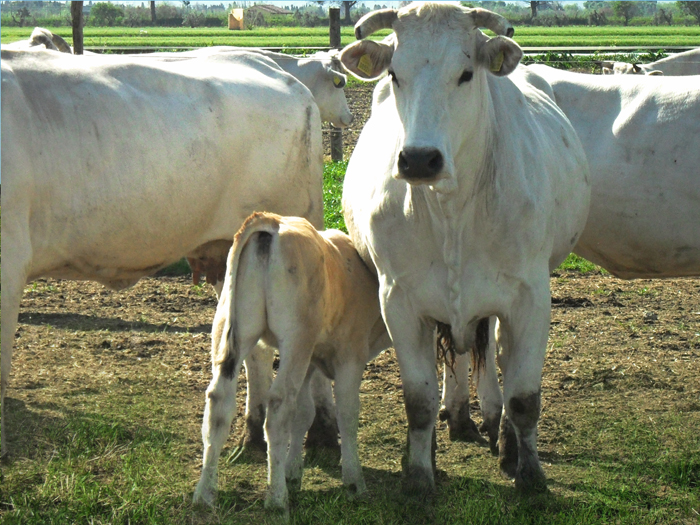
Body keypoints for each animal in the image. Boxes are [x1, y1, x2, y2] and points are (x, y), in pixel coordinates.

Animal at [0, 49, 322, 458]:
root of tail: (276, 70)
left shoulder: (8, 260)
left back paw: (323, 436)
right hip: (235, 260)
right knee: (258, 351)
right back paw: (252, 433)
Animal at [191, 212, 388, 512]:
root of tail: (273, 220)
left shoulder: (310, 361)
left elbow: (304, 413)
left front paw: (292, 473)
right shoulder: (349, 356)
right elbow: (347, 413)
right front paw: (354, 482)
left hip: (230, 329)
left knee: (218, 403)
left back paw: (204, 494)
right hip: (296, 339)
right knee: (279, 404)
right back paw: (276, 499)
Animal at [340, 2, 592, 492]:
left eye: (466, 73)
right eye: (395, 73)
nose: (419, 159)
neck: (451, 210)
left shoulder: (531, 298)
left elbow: (523, 396)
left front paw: (529, 475)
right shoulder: (398, 298)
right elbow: (416, 400)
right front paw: (419, 475)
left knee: (492, 354)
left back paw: (497, 430)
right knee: (456, 358)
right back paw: (454, 416)